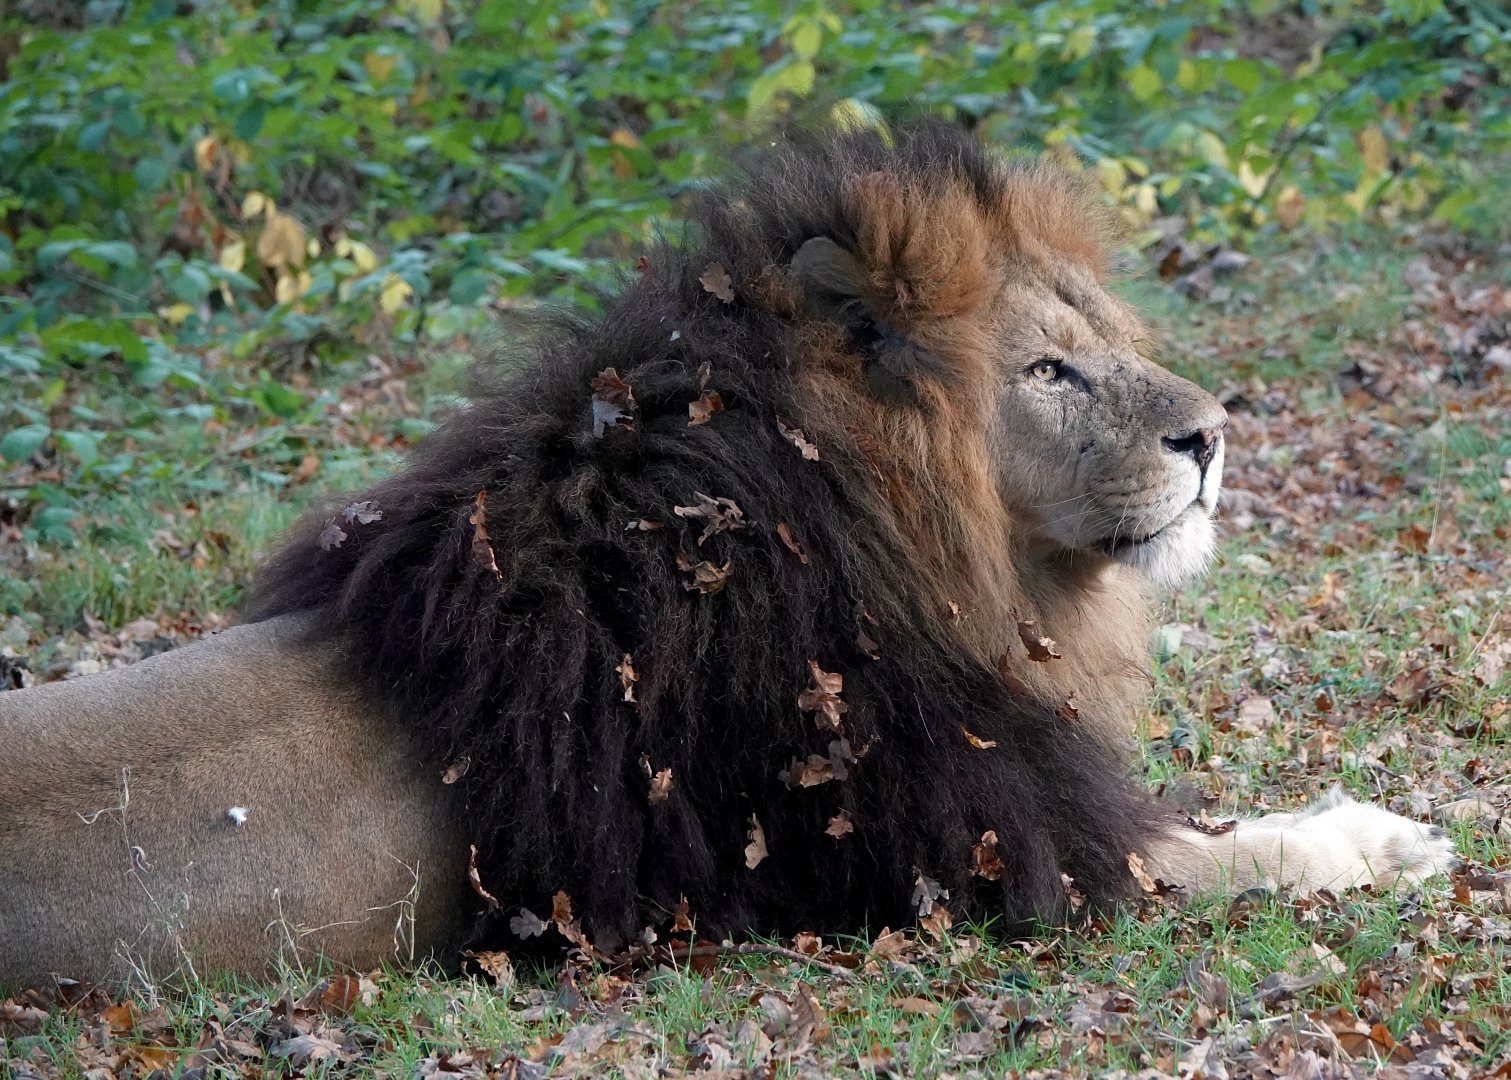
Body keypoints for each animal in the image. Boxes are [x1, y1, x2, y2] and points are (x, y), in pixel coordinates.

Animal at [0, 122, 1457, 989]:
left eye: (1106, 335)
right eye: (1047, 370)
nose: (1211, 435)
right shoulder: (965, 845)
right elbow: (1236, 852)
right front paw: (1383, 836)